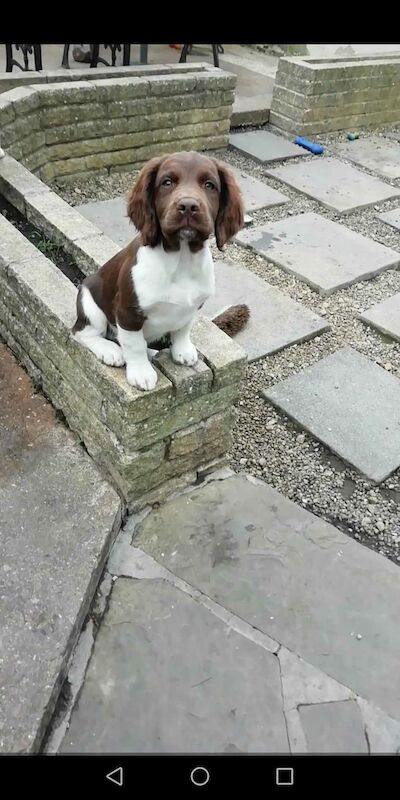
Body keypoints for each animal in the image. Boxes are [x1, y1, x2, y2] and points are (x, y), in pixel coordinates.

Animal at [72, 150, 247, 390]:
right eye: (167, 182)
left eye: (209, 185)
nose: (188, 206)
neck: (181, 260)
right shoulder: (127, 312)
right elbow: (134, 344)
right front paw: (141, 373)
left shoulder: (193, 306)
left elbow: (183, 328)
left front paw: (182, 351)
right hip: (89, 301)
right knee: (83, 332)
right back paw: (111, 351)